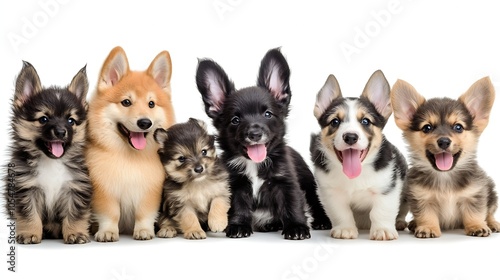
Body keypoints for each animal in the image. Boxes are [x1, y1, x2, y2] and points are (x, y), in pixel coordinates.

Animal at [87, 46, 176, 241]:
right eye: (126, 102)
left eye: (151, 104)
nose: (145, 123)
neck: (129, 157)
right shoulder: (104, 190)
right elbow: (110, 214)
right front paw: (107, 231)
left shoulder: (149, 191)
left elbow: (144, 214)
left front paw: (143, 230)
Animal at [310, 70, 408, 241]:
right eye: (335, 122)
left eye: (365, 121)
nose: (350, 137)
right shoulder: (331, 194)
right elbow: (341, 213)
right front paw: (345, 229)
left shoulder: (387, 188)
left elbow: (381, 211)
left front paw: (382, 230)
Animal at [390, 77, 500, 238]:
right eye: (427, 128)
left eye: (458, 127)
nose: (443, 141)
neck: (445, 177)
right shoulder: (421, 198)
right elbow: (426, 215)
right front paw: (428, 227)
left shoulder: (474, 194)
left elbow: (475, 213)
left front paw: (476, 226)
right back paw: (414, 223)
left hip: (491, 191)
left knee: (490, 212)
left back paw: (492, 224)